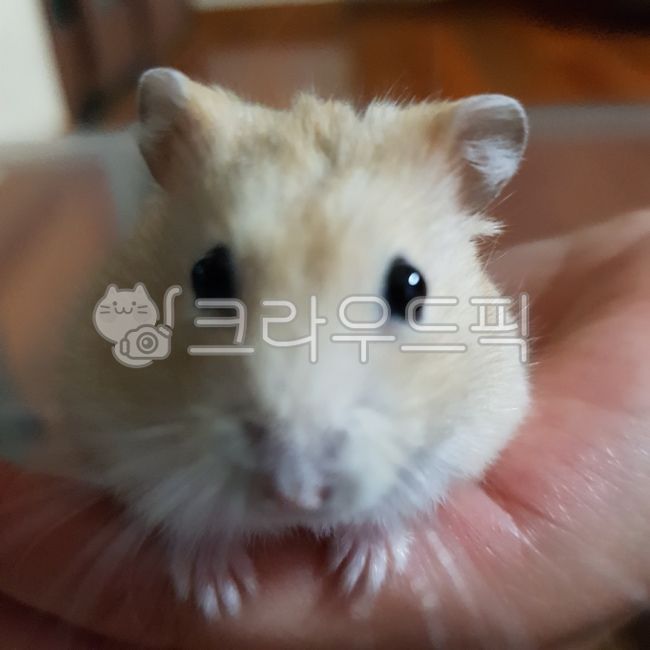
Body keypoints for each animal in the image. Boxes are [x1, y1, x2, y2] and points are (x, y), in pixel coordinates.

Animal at [46, 68, 530, 618]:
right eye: (207, 274)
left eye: (412, 286)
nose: (297, 494)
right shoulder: (110, 433)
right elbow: (182, 516)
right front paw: (218, 595)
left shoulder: (475, 428)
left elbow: (395, 507)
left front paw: (363, 577)